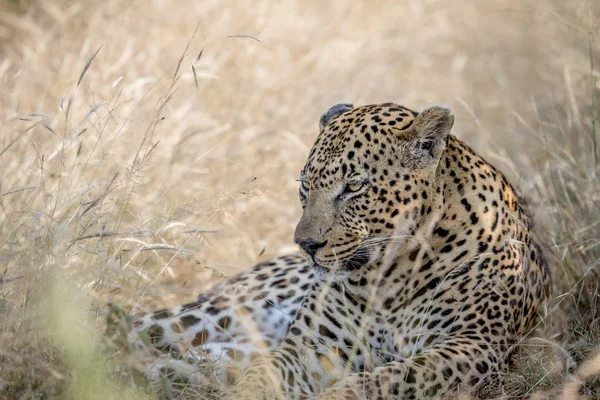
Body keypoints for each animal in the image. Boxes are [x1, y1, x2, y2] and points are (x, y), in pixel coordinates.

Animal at [129, 101, 552, 398]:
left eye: (354, 187)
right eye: (305, 185)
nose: (306, 244)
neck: (389, 280)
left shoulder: (473, 345)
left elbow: (392, 378)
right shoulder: (312, 346)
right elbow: (265, 374)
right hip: (217, 311)